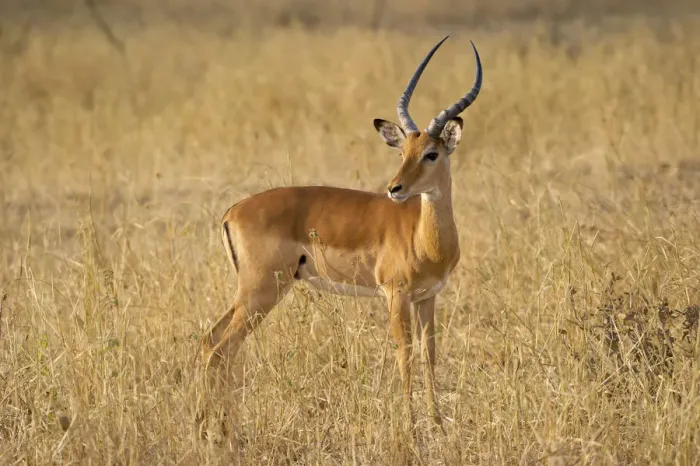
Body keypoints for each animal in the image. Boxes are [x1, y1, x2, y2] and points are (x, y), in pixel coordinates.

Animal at [204, 35, 482, 428]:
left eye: (431, 153)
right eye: (403, 151)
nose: (394, 189)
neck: (424, 236)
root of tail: (232, 211)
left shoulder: (427, 297)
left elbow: (429, 355)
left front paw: (438, 424)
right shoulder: (395, 295)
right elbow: (405, 355)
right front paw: (411, 427)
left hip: (251, 292)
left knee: (211, 341)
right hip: (261, 291)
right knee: (220, 346)